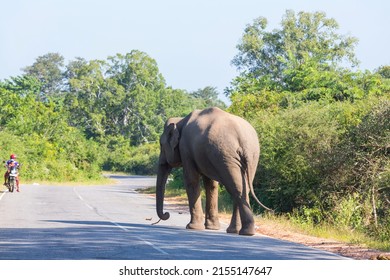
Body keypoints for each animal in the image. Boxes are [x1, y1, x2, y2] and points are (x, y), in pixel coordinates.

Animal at [154, 107, 270, 236]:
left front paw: (192, 227)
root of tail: (242, 138)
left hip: (226, 154)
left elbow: (191, 181)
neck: (180, 120)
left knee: (236, 187)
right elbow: (211, 185)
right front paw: (211, 228)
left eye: (161, 145)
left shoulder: (186, 150)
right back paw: (236, 231)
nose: (166, 214)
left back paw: (245, 232)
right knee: (243, 187)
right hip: (250, 155)